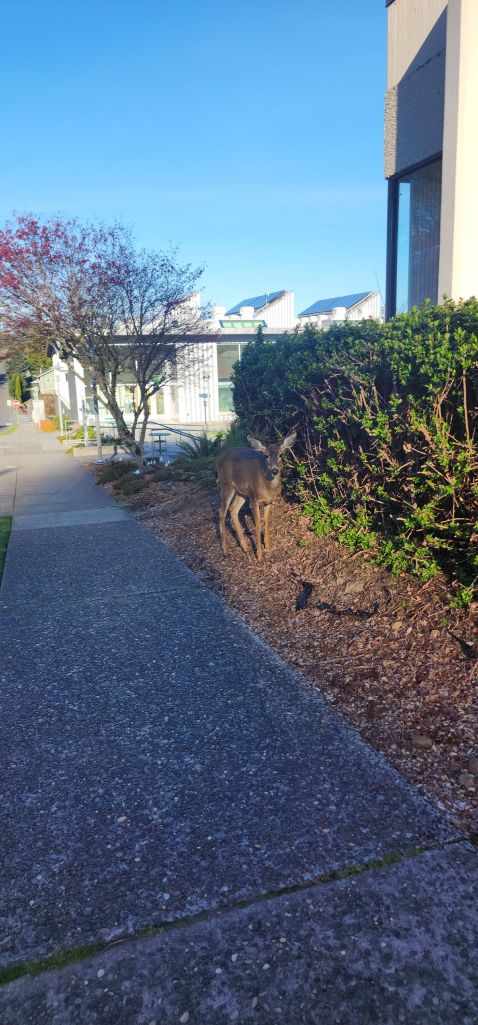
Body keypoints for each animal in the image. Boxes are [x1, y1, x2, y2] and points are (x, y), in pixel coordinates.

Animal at [216, 432, 297, 562]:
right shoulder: (254, 499)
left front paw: (268, 546)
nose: (274, 471)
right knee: (222, 511)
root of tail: (219, 458)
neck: (268, 487)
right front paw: (259, 556)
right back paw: (224, 550)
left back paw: (245, 547)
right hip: (226, 485)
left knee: (233, 508)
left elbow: (267, 521)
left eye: (280, 455)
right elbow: (258, 525)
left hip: (242, 492)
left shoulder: (269, 501)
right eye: (266, 456)